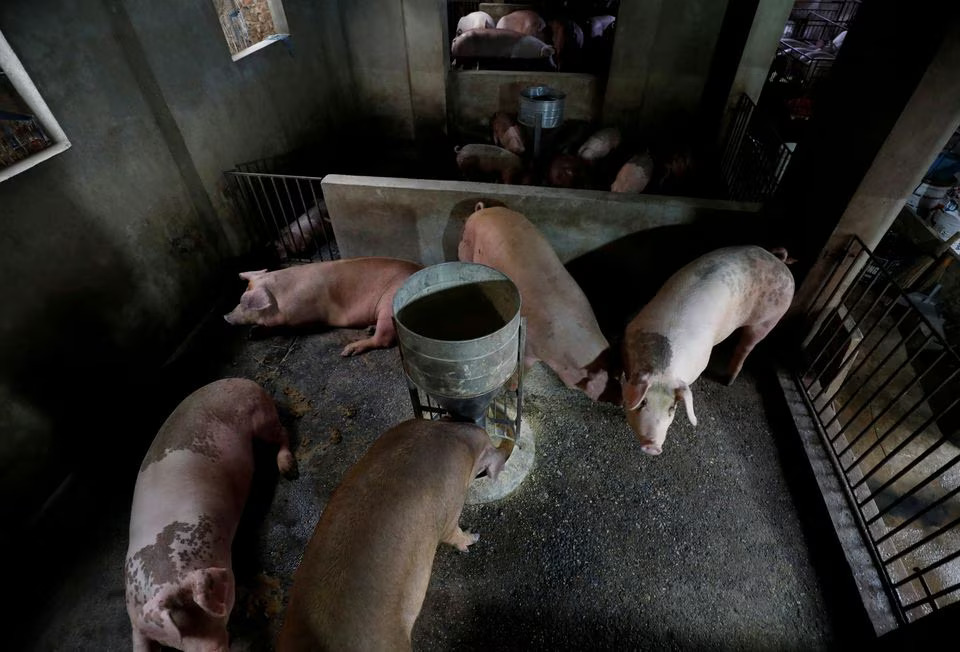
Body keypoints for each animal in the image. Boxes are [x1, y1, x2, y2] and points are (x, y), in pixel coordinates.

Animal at [124, 376, 296, 652]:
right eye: (180, 635)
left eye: (211, 612)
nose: (215, 649)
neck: (167, 573)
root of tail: (242, 380)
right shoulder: (136, 620)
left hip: (261, 418)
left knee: (282, 432)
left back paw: (289, 469)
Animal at [225, 255, 424, 356]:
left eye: (244, 302)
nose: (225, 316)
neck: (281, 300)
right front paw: (251, 335)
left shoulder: (308, 317)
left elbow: (286, 328)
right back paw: (368, 328)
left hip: (388, 303)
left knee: (383, 339)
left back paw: (347, 351)